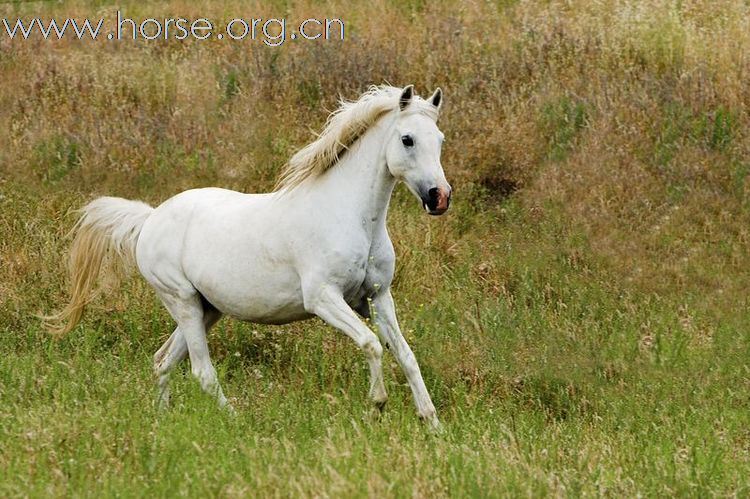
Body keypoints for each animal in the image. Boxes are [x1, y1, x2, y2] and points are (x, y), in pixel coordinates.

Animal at [50, 84, 456, 428]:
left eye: (439, 139)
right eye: (407, 139)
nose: (439, 197)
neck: (351, 217)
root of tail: (150, 218)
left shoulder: (377, 298)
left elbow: (406, 355)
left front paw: (432, 423)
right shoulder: (323, 298)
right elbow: (371, 345)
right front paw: (377, 405)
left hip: (205, 309)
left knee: (163, 360)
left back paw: (162, 421)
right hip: (181, 300)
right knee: (201, 372)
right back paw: (236, 422)